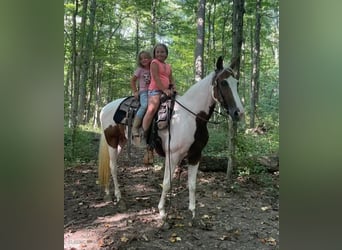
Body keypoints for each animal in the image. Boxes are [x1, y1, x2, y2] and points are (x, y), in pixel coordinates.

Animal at [97, 56, 244, 219]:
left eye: (237, 83)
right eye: (223, 82)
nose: (239, 113)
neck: (191, 117)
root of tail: (105, 107)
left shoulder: (195, 155)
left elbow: (192, 185)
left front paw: (192, 213)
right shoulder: (172, 155)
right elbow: (167, 183)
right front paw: (162, 211)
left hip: (121, 142)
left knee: (110, 166)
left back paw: (108, 193)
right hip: (111, 141)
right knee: (113, 167)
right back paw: (119, 197)